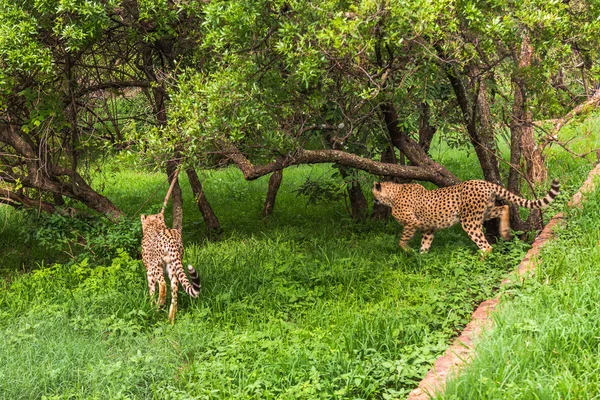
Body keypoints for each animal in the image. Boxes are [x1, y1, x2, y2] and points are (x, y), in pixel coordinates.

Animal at [372, 179, 560, 253]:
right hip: (484, 212)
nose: (373, 201)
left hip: (469, 221)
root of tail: (483, 182)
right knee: (504, 207)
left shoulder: (411, 222)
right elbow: (425, 244)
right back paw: (505, 232)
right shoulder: (429, 228)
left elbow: (402, 240)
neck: (393, 194)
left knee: (486, 246)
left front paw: (408, 251)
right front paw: (421, 257)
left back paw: (481, 260)